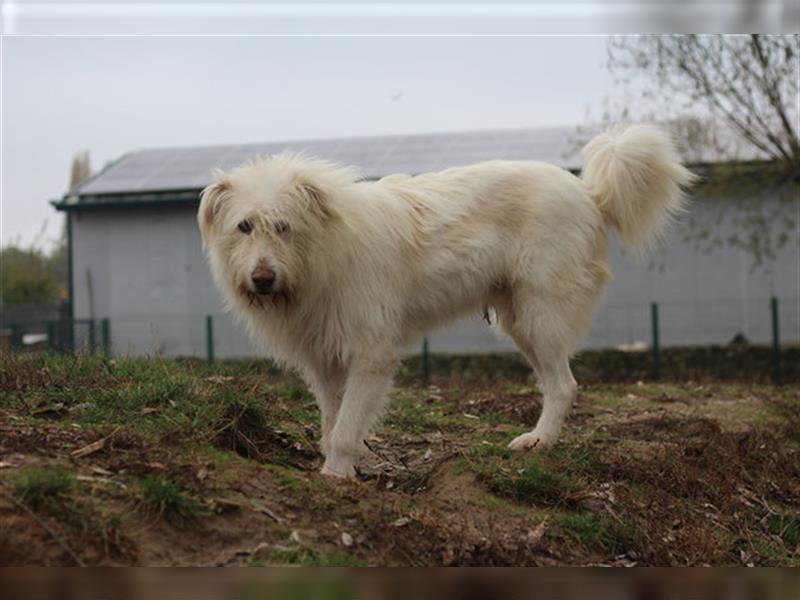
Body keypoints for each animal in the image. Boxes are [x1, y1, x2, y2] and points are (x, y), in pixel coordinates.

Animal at [198, 125, 692, 478]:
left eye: (283, 227)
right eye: (245, 226)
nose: (262, 279)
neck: (322, 255)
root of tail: (587, 192)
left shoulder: (370, 355)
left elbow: (345, 428)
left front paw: (336, 477)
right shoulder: (323, 360)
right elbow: (334, 421)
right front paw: (343, 465)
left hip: (541, 315)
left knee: (564, 386)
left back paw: (539, 442)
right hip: (519, 321)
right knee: (556, 383)